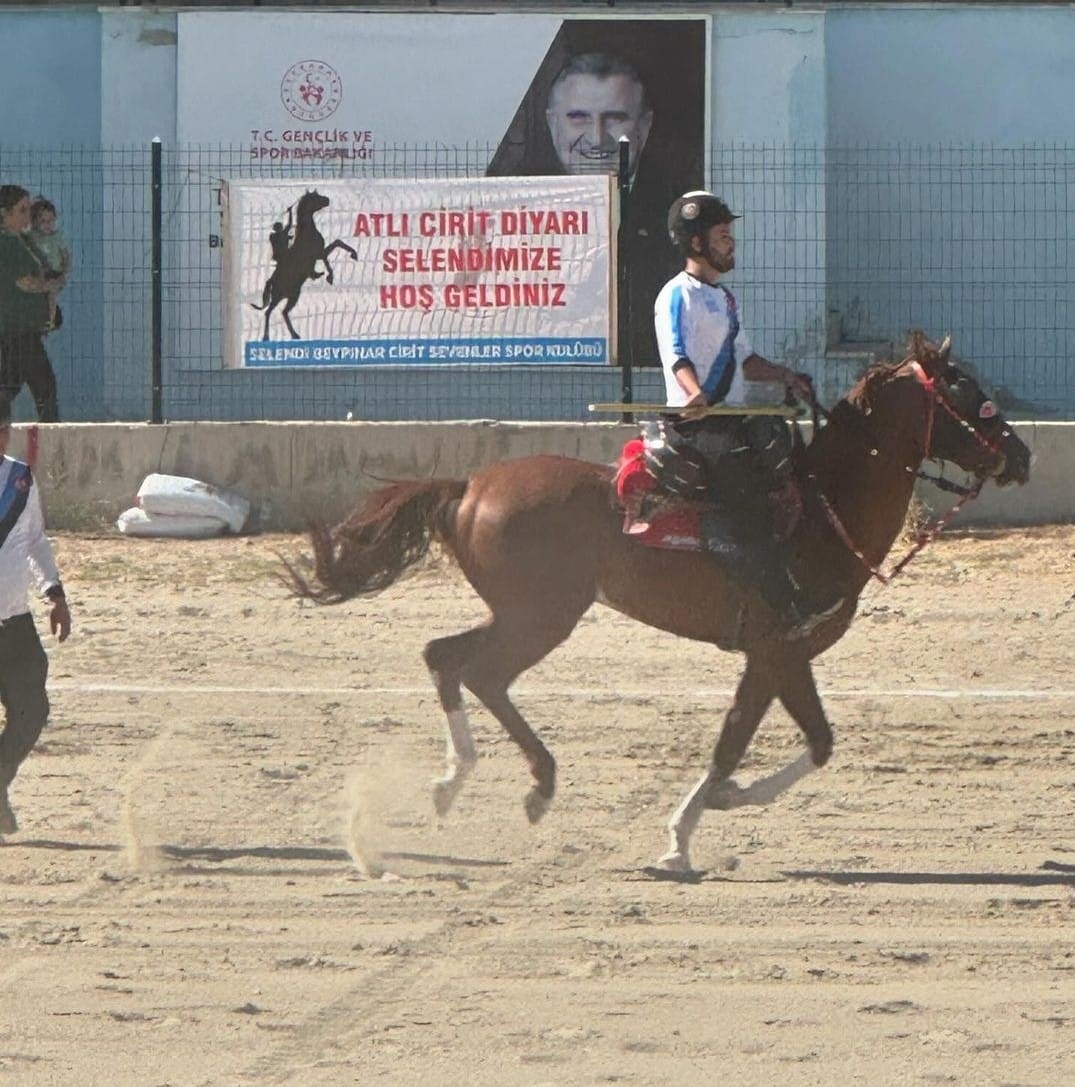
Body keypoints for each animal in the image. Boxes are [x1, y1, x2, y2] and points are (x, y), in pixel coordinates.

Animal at [286, 332, 1030, 873]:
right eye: (969, 394)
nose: (1020, 456)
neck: (822, 511)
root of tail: (468, 485)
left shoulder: (777, 657)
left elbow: (801, 742)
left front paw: (707, 813)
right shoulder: (778, 650)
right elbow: (751, 742)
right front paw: (683, 837)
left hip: (521, 613)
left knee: (444, 656)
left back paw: (454, 784)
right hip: (540, 618)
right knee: (478, 672)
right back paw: (532, 784)